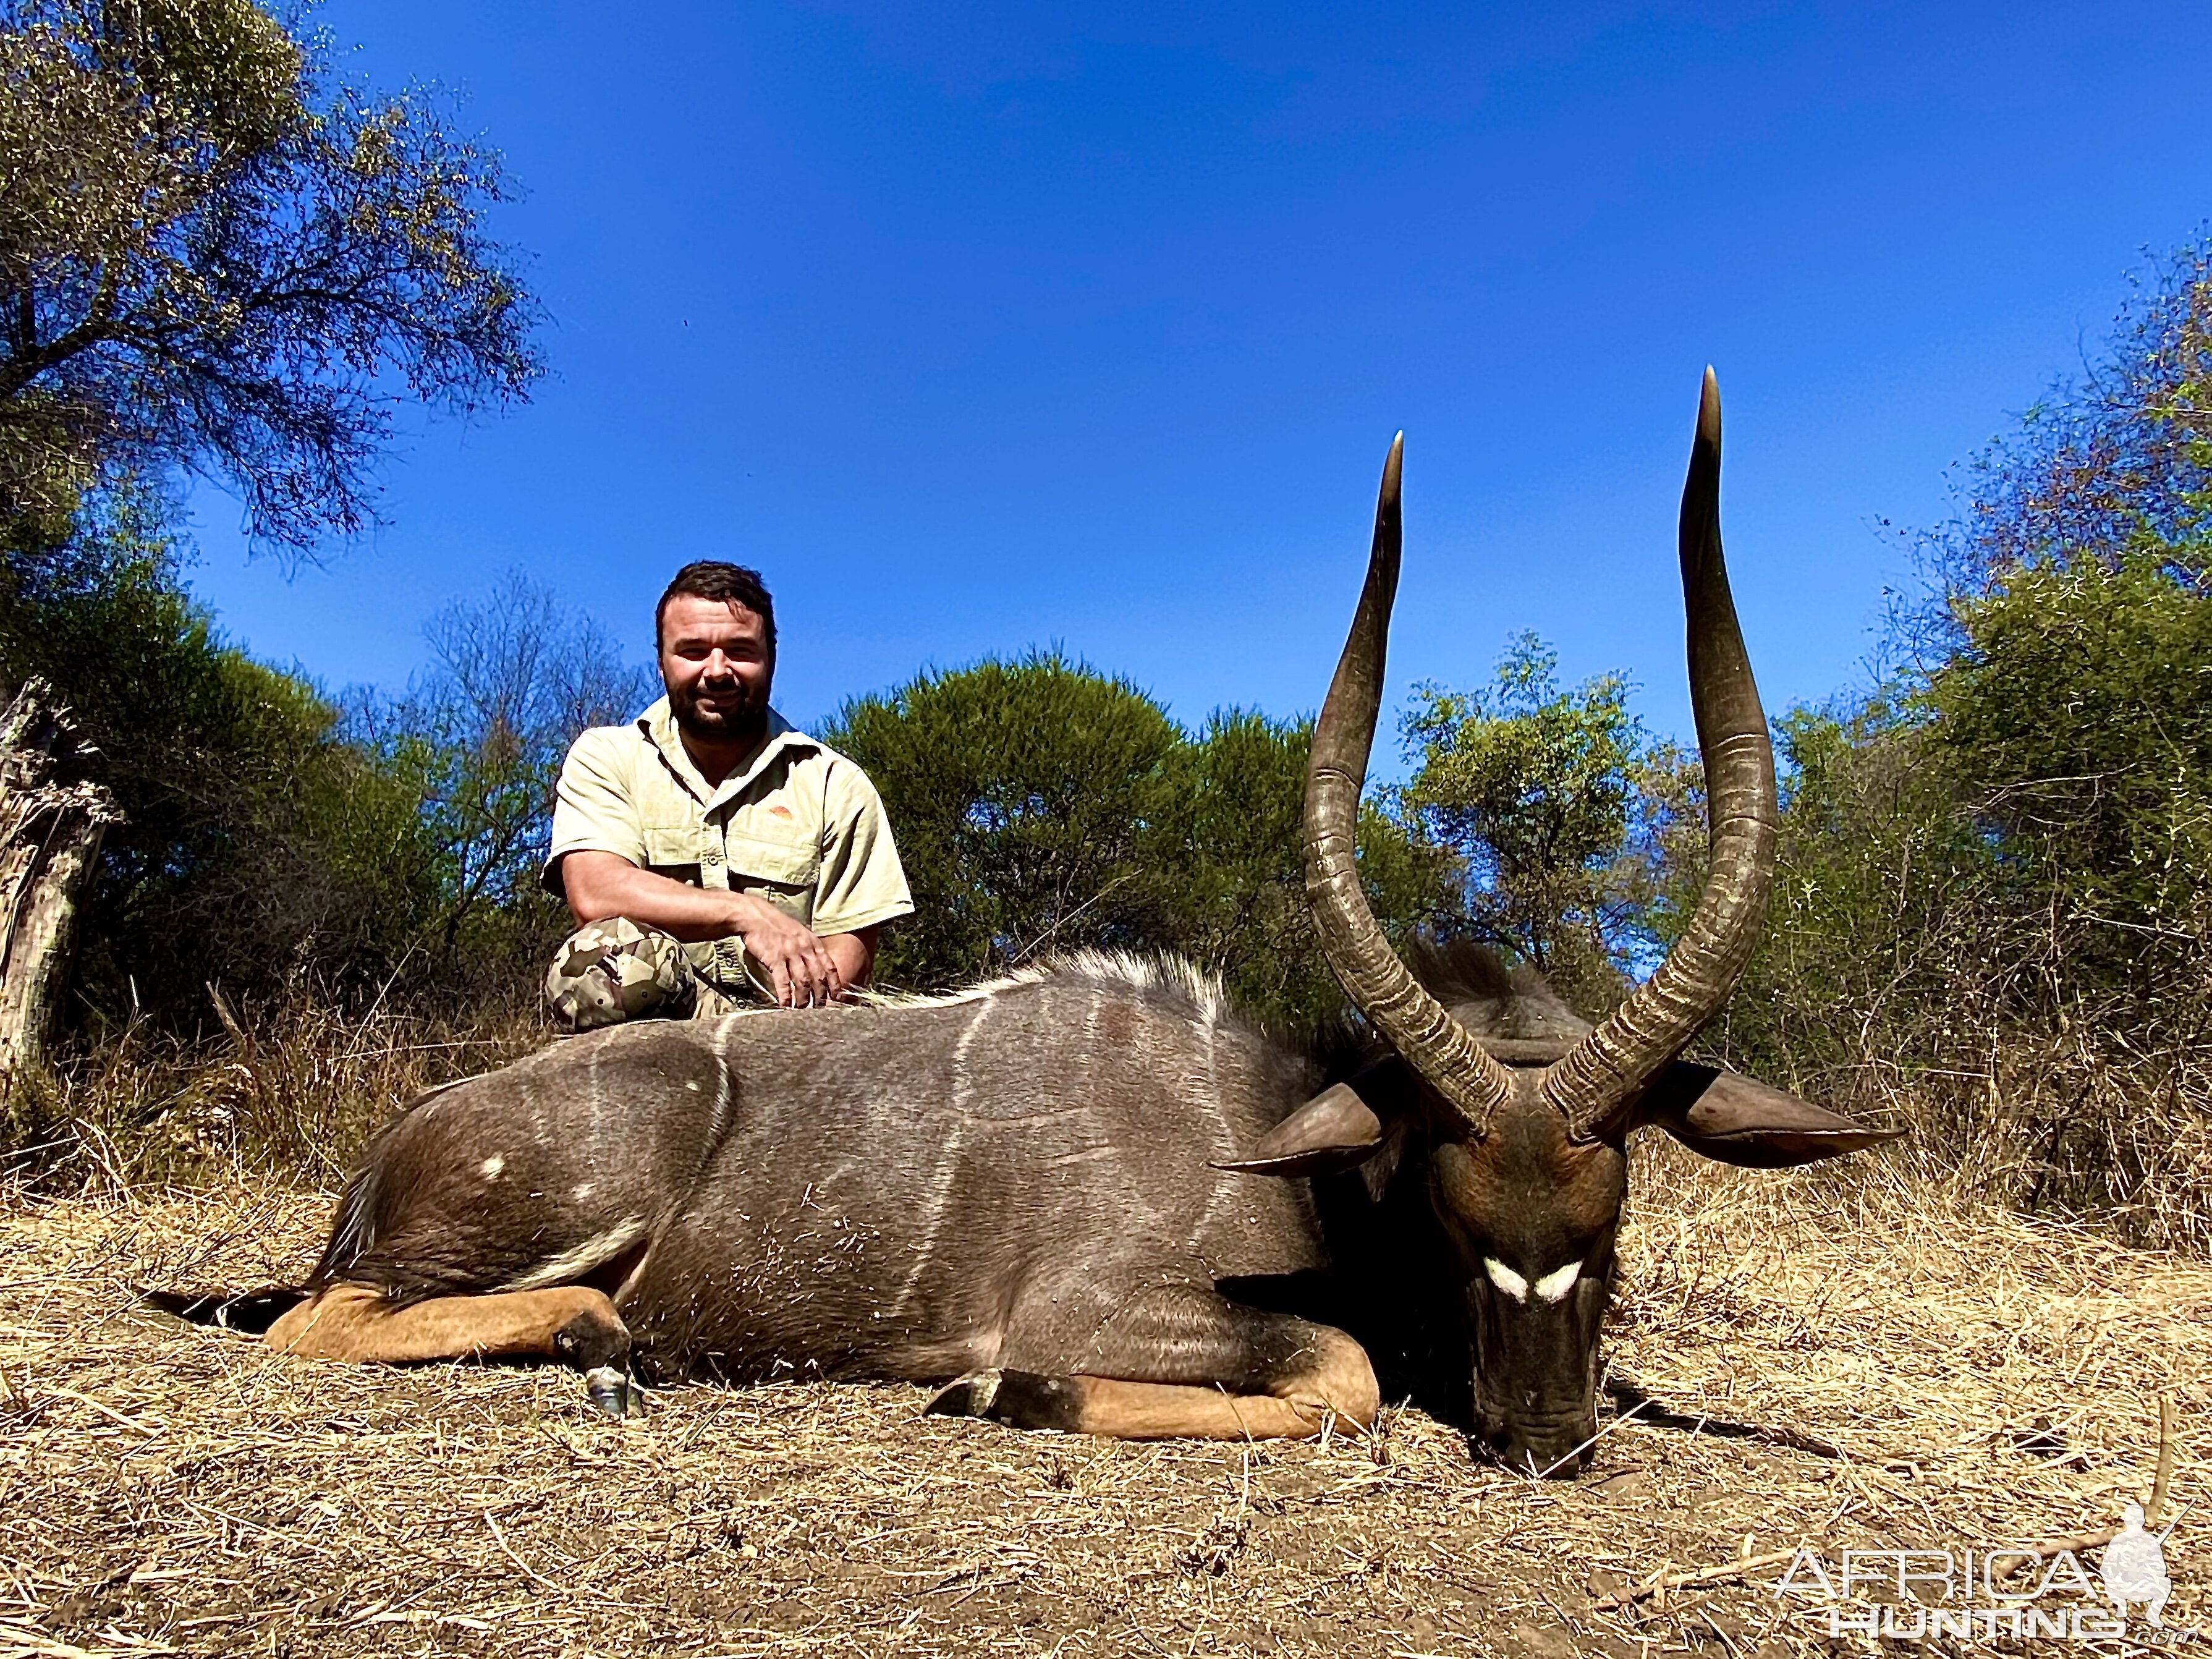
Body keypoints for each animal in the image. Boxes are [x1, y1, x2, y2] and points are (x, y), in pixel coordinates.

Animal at [181, 373, 1893, 1469]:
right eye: (1448, 1201)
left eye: (1608, 1222)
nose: (1545, 1435)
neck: (1274, 1137)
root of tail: (388, 1159)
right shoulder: (1098, 1306)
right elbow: (1335, 1372)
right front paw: (997, 1396)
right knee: (319, 1321)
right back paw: (604, 1347)